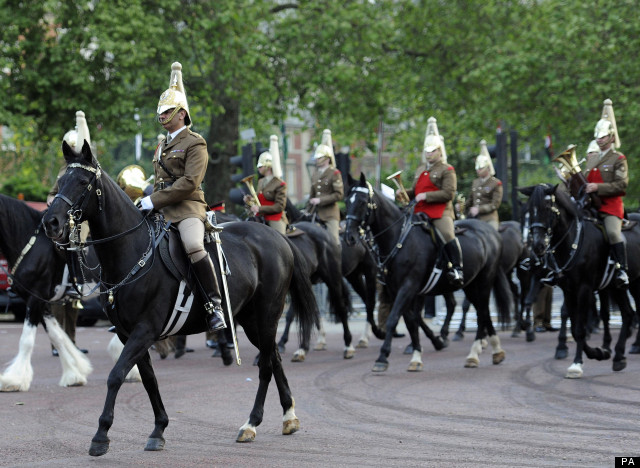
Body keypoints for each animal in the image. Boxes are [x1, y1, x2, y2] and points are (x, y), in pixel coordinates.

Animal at [0, 194, 94, 392]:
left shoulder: (35, 299)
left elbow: (26, 340)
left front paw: (14, 380)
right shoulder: (40, 301)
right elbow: (57, 336)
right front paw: (73, 374)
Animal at [41, 144, 318, 458]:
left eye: (82, 182)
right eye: (60, 181)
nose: (50, 222)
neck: (131, 251)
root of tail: (279, 238)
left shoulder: (144, 330)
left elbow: (116, 375)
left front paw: (101, 435)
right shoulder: (129, 334)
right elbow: (149, 379)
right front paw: (158, 429)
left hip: (266, 316)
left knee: (266, 365)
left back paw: (251, 423)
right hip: (250, 321)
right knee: (274, 358)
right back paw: (288, 417)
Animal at [344, 174, 510, 372]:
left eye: (362, 202)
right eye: (346, 200)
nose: (349, 237)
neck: (399, 238)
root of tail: (491, 231)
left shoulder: (409, 286)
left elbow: (395, 319)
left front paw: (383, 357)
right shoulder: (395, 289)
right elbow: (411, 321)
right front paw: (416, 356)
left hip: (484, 281)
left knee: (482, 311)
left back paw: (476, 352)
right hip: (469, 284)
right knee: (480, 311)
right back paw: (492, 351)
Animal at [520, 185, 640, 378]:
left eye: (547, 208)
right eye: (530, 210)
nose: (537, 247)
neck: (571, 241)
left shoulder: (584, 288)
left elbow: (579, 328)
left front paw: (576, 363)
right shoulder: (567, 289)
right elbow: (574, 325)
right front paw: (599, 352)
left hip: (632, 284)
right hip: (618, 287)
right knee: (628, 314)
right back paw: (619, 355)